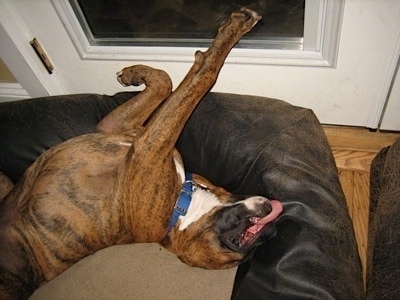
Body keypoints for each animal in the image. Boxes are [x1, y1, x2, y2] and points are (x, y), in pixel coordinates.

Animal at [0, 8, 282, 298]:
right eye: (236, 253)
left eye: (241, 259)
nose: (270, 233)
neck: (183, 203)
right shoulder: (123, 130)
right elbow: (171, 81)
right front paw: (135, 74)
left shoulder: (149, 142)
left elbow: (202, 75)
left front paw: (234, 28)